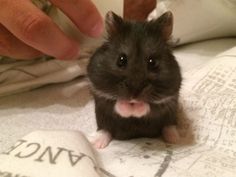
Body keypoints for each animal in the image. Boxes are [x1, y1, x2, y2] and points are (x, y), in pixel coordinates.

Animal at [87, 11, 182, 149]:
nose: (134, 95)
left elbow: (149, 106)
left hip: (171, 115)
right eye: (121, 60)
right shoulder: (100, 95)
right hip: (102, 118)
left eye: (153, 62)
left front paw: (136, 107)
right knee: (105, 129)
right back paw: (97, 144)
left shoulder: (168, 99)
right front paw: (128, 107)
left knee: (168, 125)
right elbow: (117, 105)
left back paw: (175, 139)